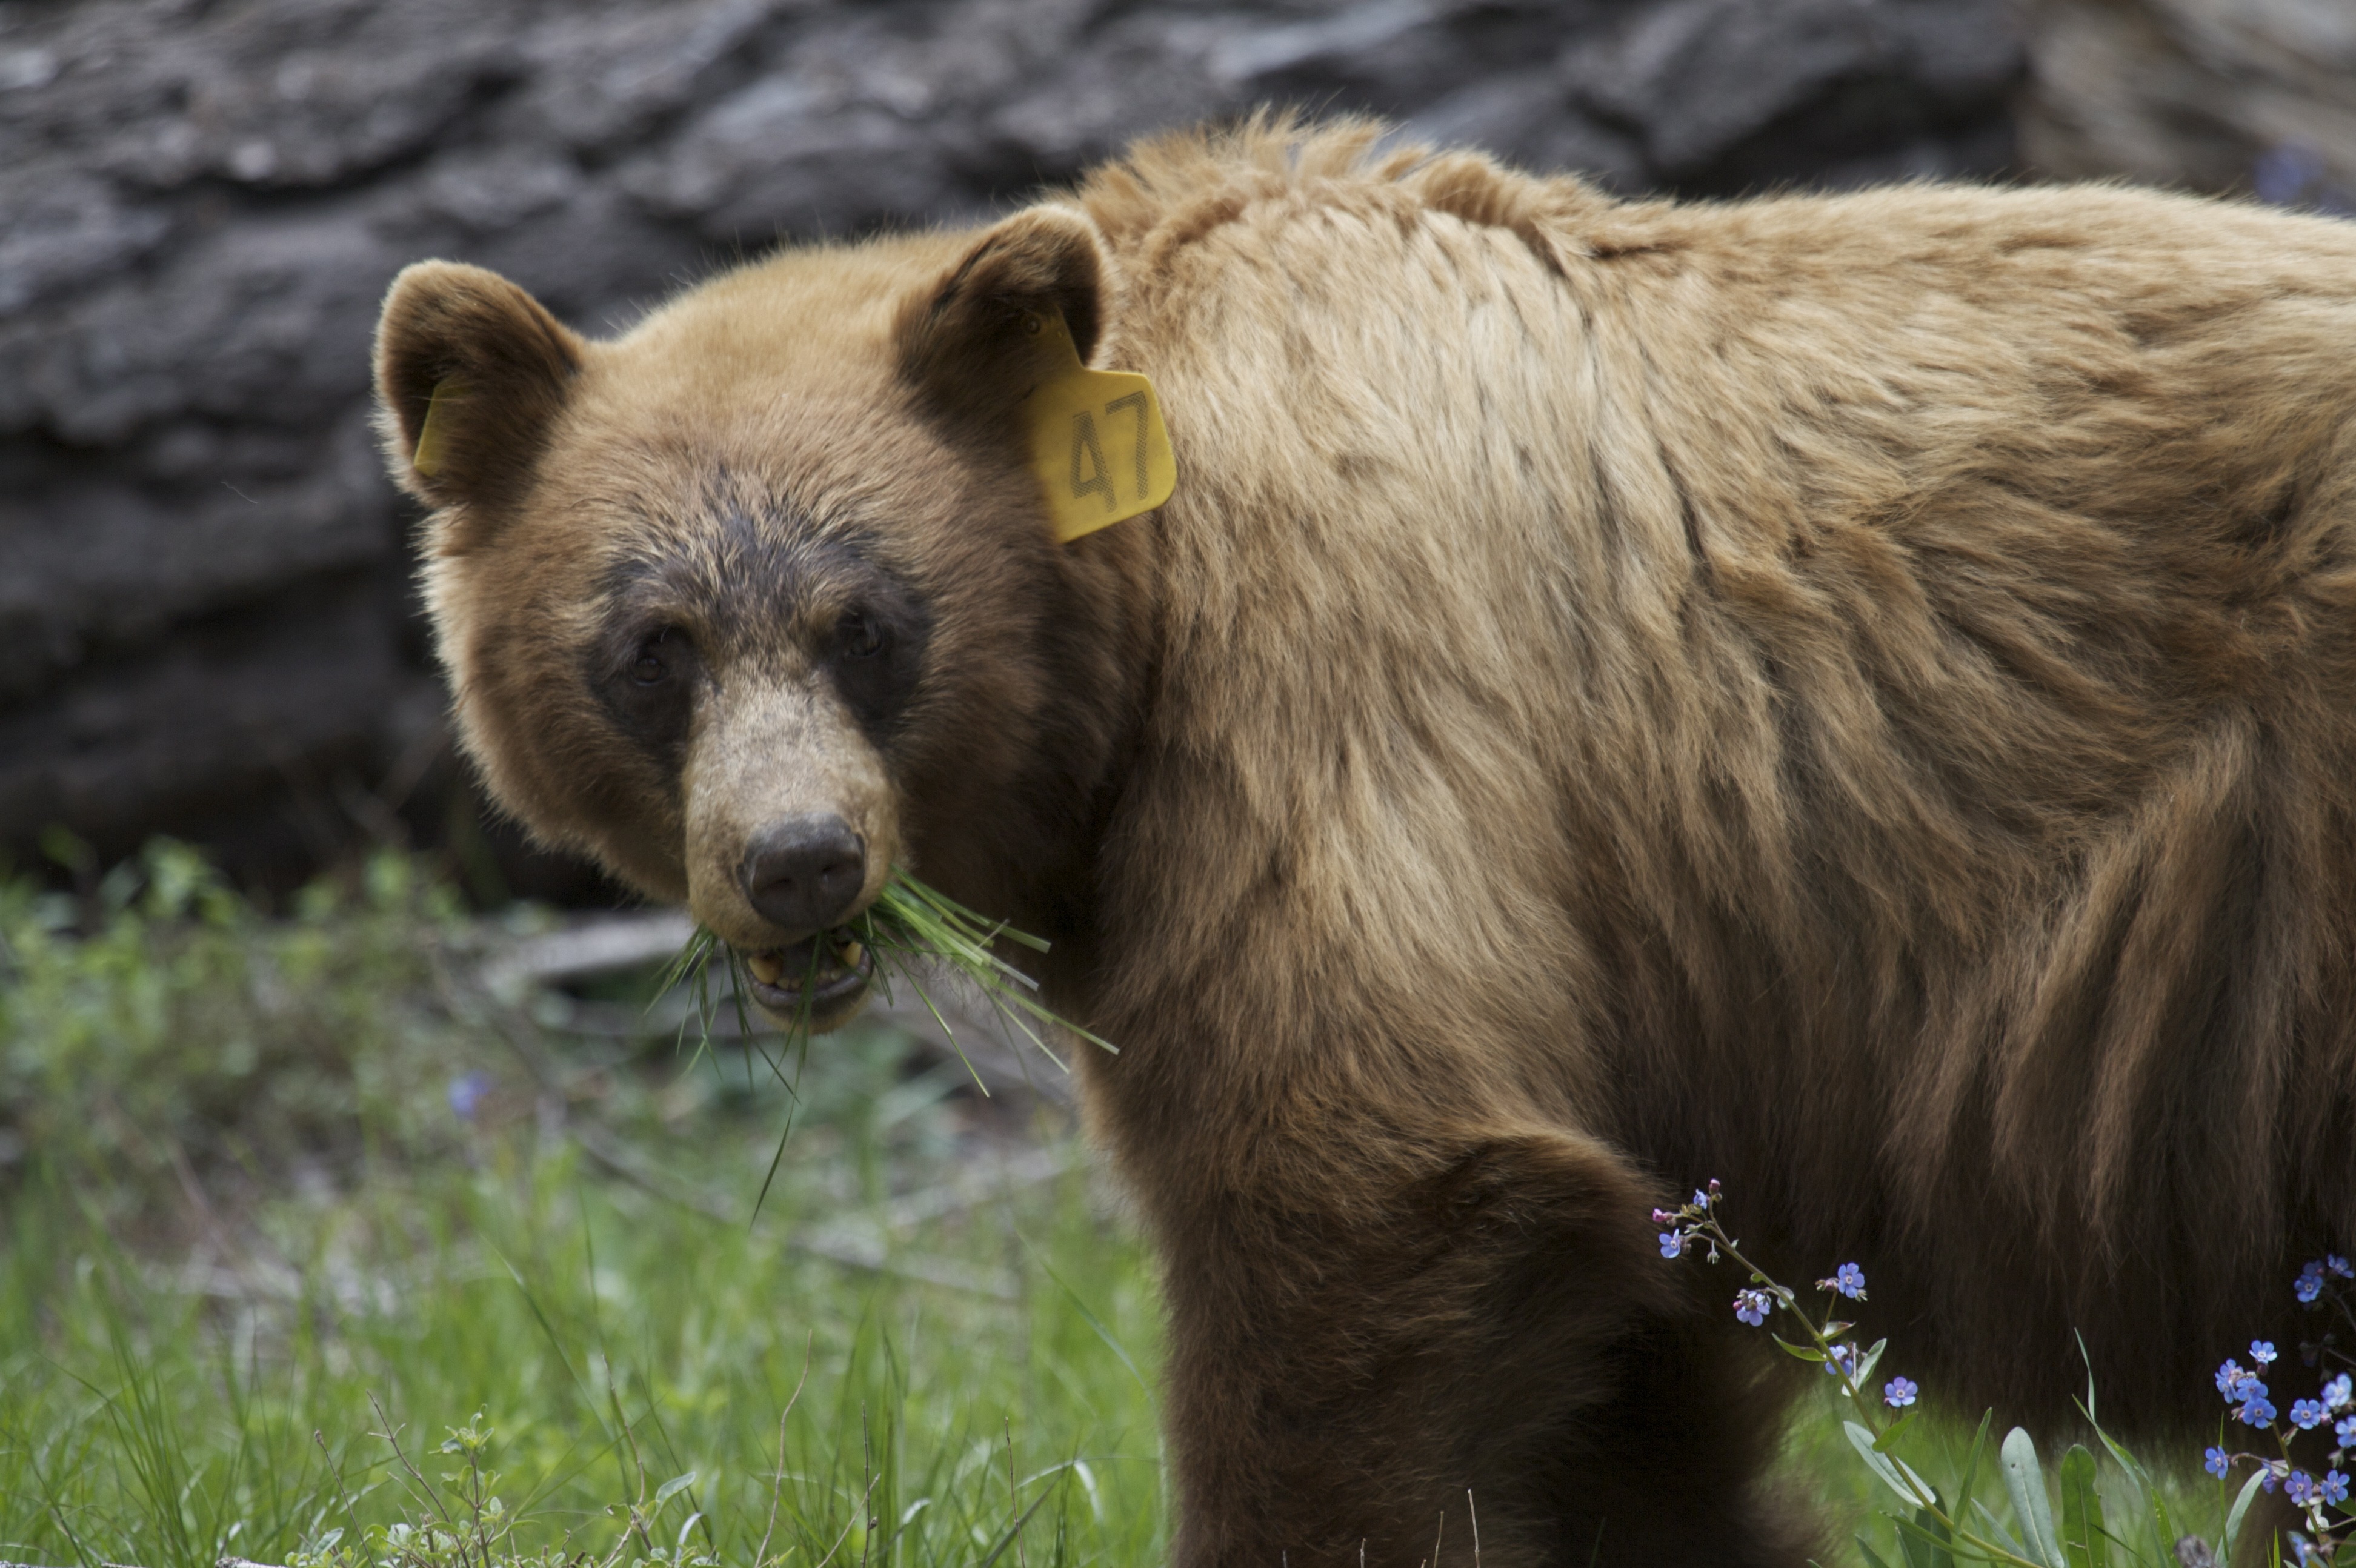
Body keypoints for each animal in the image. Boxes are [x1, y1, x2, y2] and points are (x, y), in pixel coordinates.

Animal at [367, 122, 2356, 1563]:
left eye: (868, 622)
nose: (797, 860)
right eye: (656, 643)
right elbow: (1628, 1386)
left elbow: (1360, 1183)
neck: (1139, 587)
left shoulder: (1327, 684)